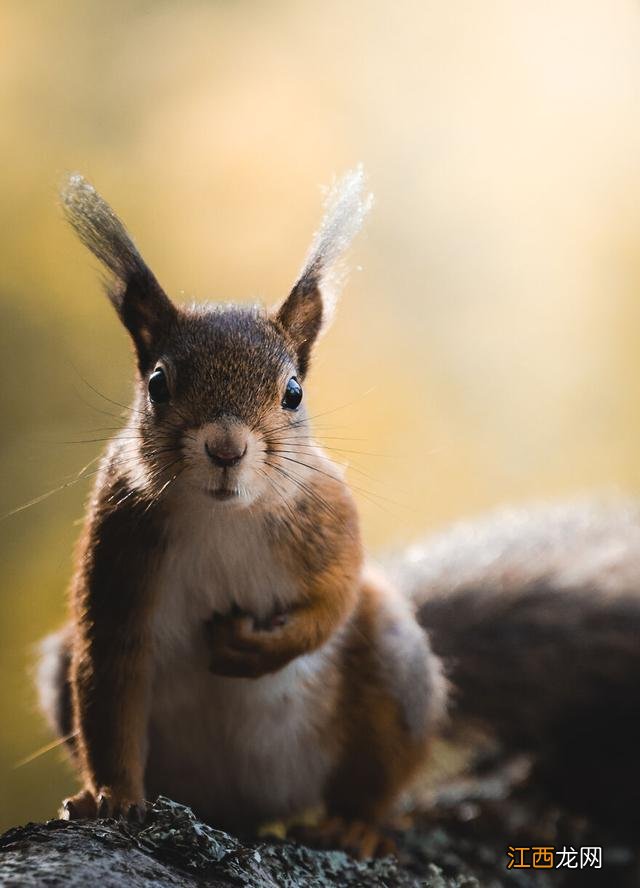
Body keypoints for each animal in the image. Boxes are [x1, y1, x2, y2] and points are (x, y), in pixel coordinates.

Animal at [35, 168, 444, 860]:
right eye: (158, 383)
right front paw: (111, 796)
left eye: (293, 393)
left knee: (374, 770)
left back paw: (354, 822)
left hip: (395, 666)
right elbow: (109, 687)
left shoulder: (328, 514)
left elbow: (336, 595)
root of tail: (250, 803)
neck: (222, 516)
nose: (226, 449)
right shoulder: (119, 553)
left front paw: (259, 649)